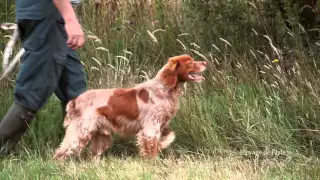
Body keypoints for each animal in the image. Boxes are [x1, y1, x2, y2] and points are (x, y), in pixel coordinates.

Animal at [52, 53, 208, 160]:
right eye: (190, 62)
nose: (205, 62)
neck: (164, 89)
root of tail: (75, 100)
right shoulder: (150, 128)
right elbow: (152, 148)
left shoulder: (161, 124)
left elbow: (170, 136)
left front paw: (163, 145)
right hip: (81, 132)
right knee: (61, 152)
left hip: (101, 136)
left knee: (91, 154)